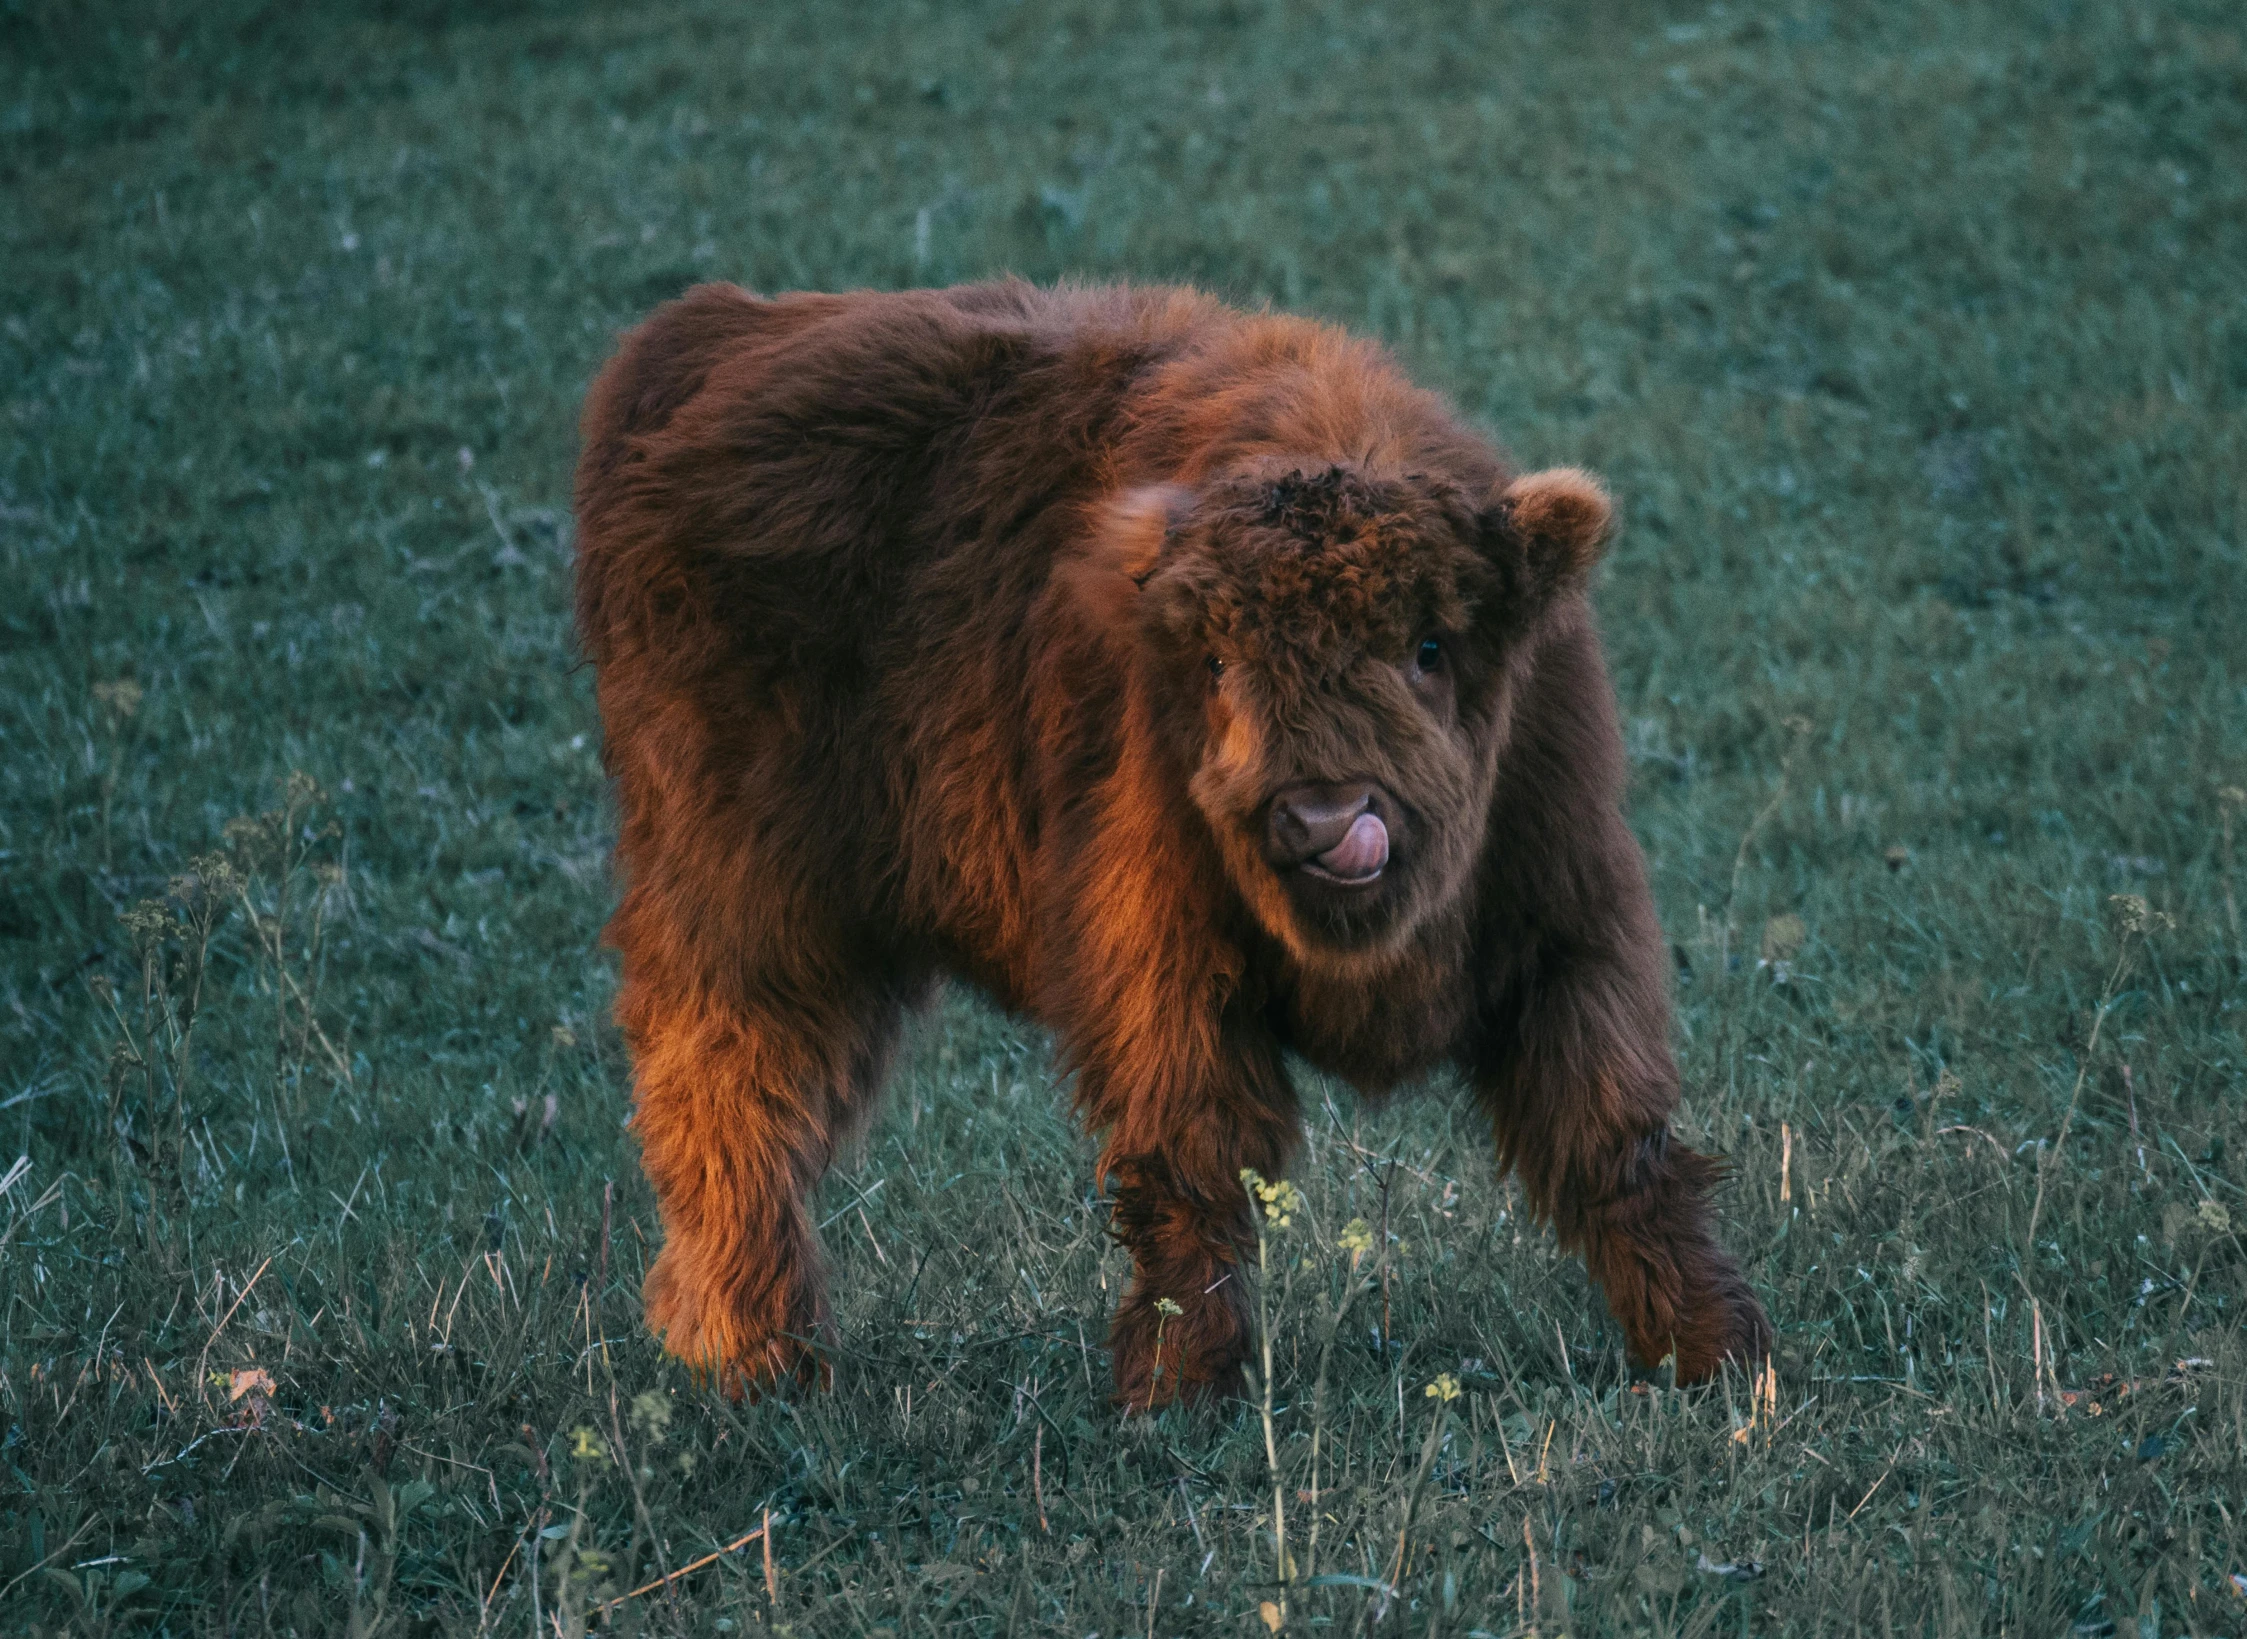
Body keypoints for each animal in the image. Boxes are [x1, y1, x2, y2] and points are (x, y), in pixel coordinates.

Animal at [570, 275, 1761, 1402]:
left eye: (1430, 646)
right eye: (1220, 663)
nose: (1323, 817)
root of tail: (710, 330)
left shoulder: (1570, 928)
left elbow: (1614, 1141)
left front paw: (1713, 1348)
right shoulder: (1160, 965)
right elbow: (1192, 1171)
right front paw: (1176, 1389)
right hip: (748, 899)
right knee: (728, 1094)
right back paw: (757, 1355)